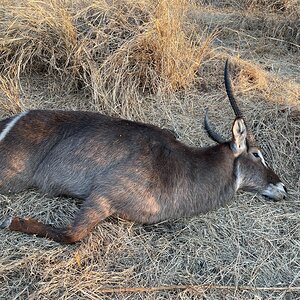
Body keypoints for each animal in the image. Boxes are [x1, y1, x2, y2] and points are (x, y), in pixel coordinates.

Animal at [0, 59, 286, 243]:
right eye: (257, 153)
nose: (283, 186)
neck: (185, 168)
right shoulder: (104, 195)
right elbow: (71, 235)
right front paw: (11, 221)